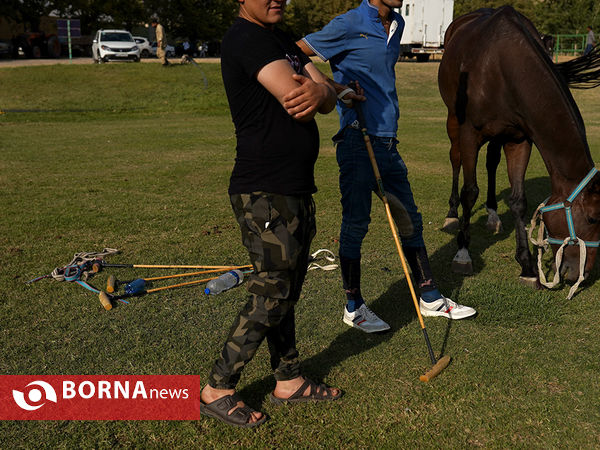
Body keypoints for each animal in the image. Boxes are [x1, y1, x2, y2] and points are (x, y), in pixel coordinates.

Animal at [436, 6, 600, 296]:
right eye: (592, 219)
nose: (582, 274)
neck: (503, 65)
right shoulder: (469, 133)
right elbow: (470, 191)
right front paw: (463, 253)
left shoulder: (520, 139)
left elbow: (518, 200)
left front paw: (527, 266)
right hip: (453, 121)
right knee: (455, 160)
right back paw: (452, 214)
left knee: (491, 162)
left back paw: (492, 215)